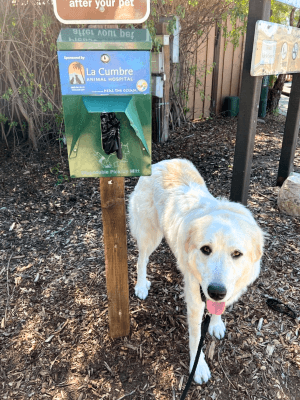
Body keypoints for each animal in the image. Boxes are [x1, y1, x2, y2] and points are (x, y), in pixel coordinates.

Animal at [127, 158, 264, 382]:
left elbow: (218, 310)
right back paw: (141, 285)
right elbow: (195, 338)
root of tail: (161, 162)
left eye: (237, 254)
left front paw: (215, 324)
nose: (216, 292)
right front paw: (198, 367)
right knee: (141, 260)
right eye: (206, 249)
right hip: (150, 235)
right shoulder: (195, 303)